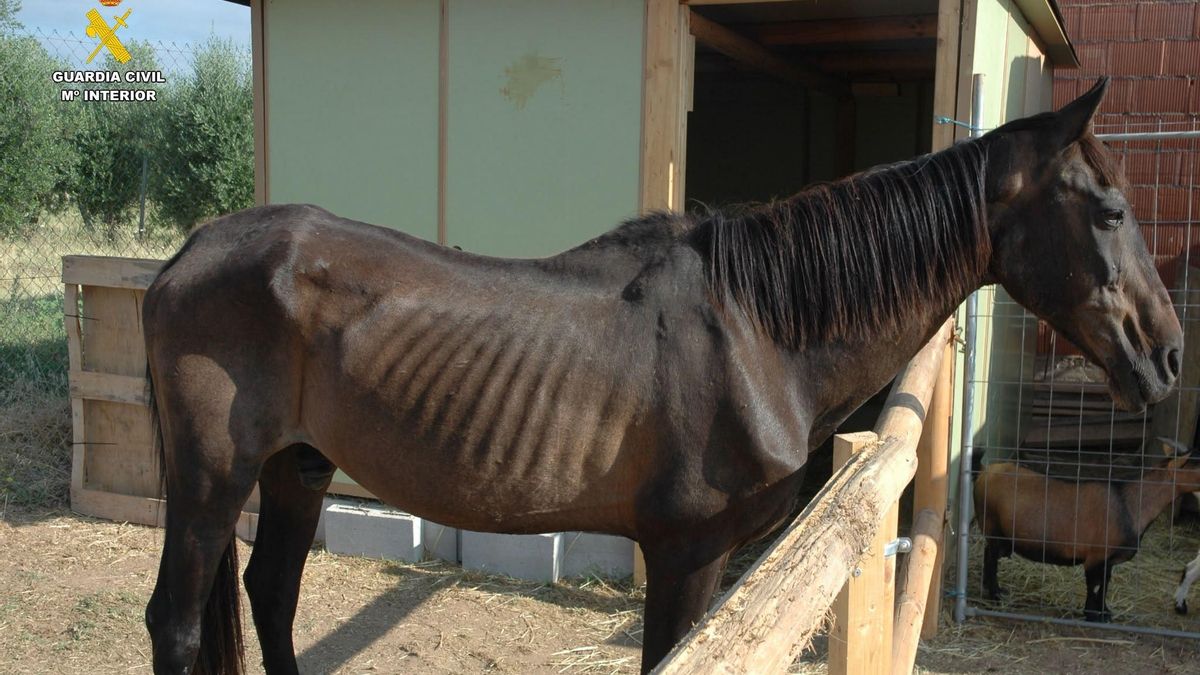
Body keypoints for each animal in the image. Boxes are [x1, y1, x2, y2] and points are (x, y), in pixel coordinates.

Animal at [143, 78, 1181, 674]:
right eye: (1110, 209)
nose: (1167, 354)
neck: (758, 330)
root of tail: (190, 251)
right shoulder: (686, 554)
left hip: (296, 469)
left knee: (271, 598)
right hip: (209, 482)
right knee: (177, 624)